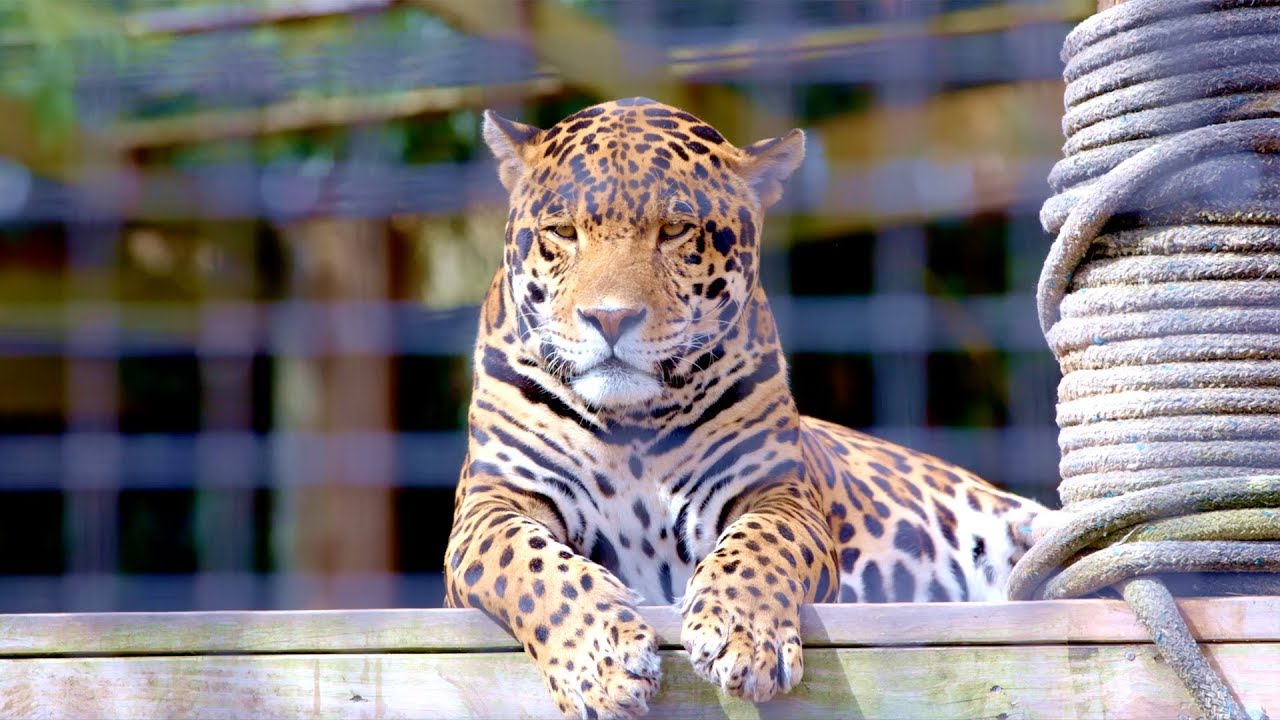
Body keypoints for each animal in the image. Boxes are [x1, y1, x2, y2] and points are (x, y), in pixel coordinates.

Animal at [443, 97, 1050, 720]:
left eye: (675, 230)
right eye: (562, 232)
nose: (610, 318)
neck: (631, 425)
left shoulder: (779, 494)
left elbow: (759, 545)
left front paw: (744, 636)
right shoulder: (490, 504)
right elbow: (533, 566)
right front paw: (602, 661)